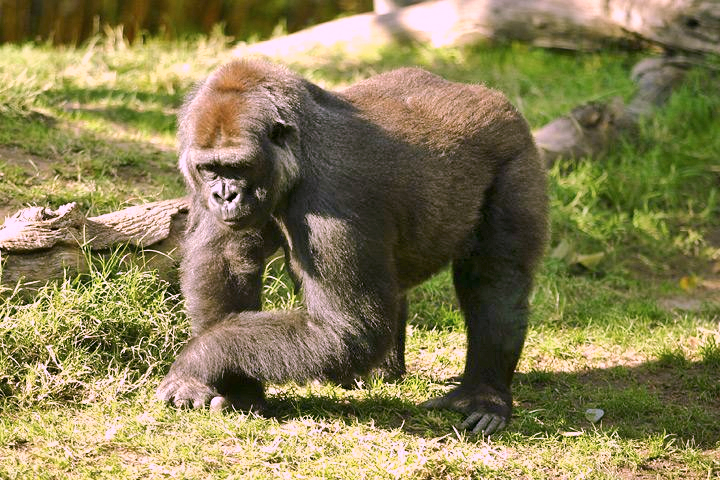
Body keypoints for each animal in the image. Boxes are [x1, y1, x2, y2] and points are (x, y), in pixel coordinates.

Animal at [158, 59, 548, 436]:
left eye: (238, 167)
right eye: (210, 169)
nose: (225, 196)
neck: (300, 149)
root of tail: (487, 95)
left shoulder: (335, 195)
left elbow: (346, 329)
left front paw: (200, 359)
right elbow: (225, 265)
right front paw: (240, 390)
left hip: (516, 151)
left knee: (495, 283)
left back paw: (484, 393)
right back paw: (383, 372)